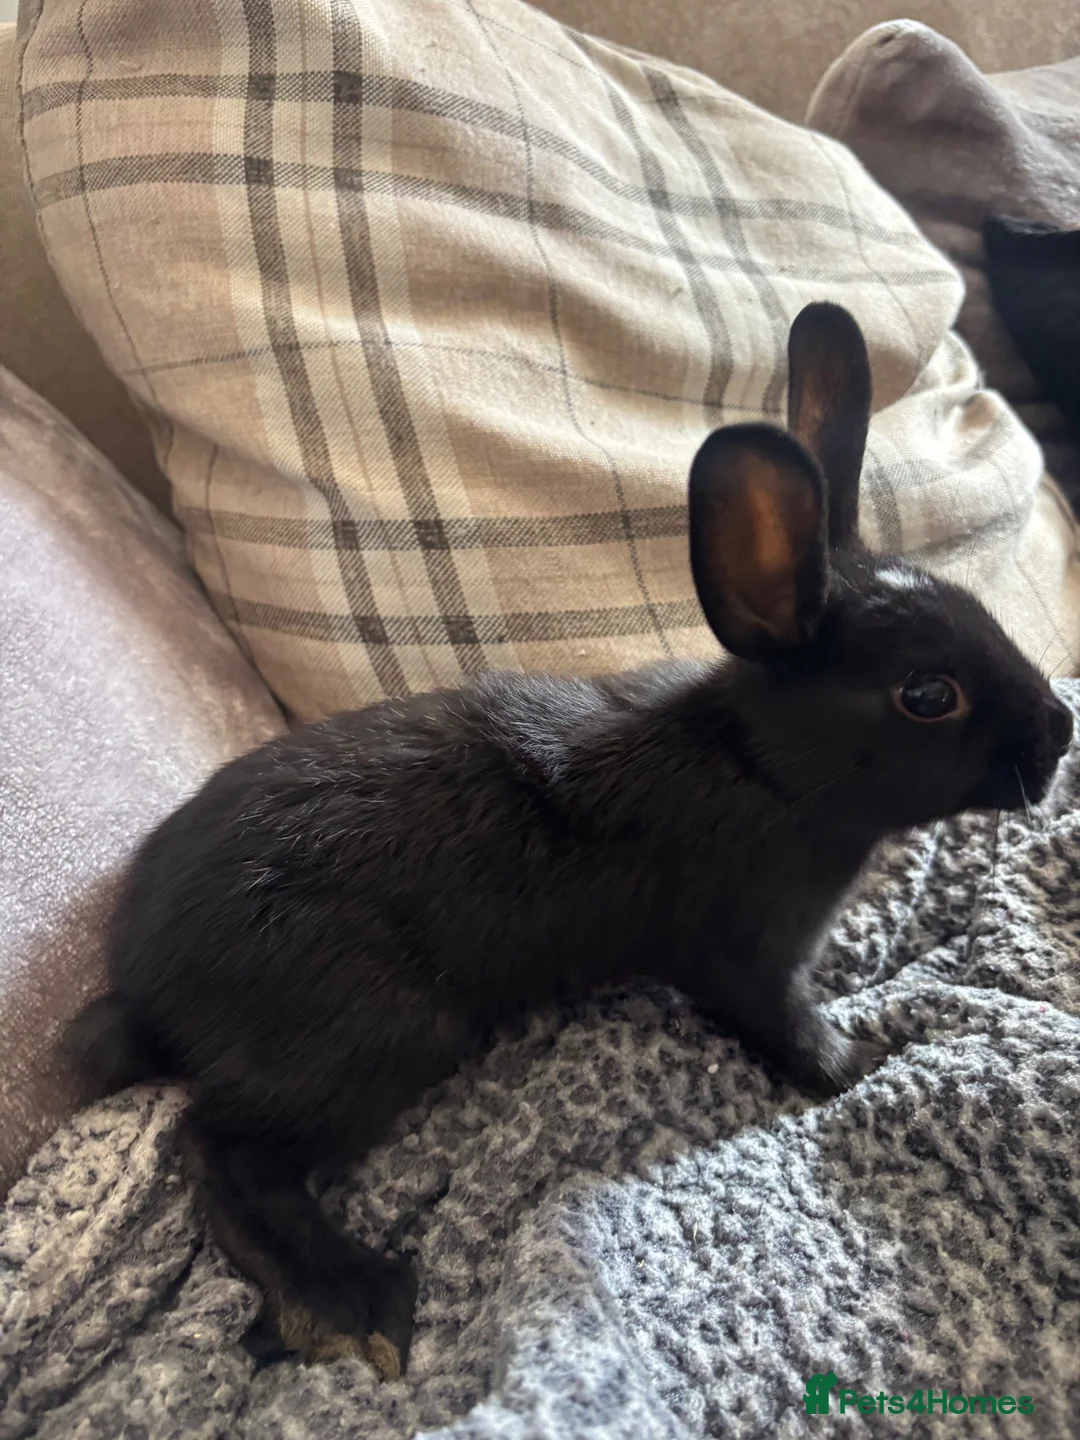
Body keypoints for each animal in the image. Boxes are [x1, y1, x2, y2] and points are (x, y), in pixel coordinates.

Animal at [65, 302, 1073, 1381]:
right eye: (928, 695)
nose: (1060, 733)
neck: (767, 766)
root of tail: (146, 982)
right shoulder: (744, 955)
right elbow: (787, 1026)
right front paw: (860, 1061)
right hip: (375, 1028)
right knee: (220, 1152)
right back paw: (352, 1301)